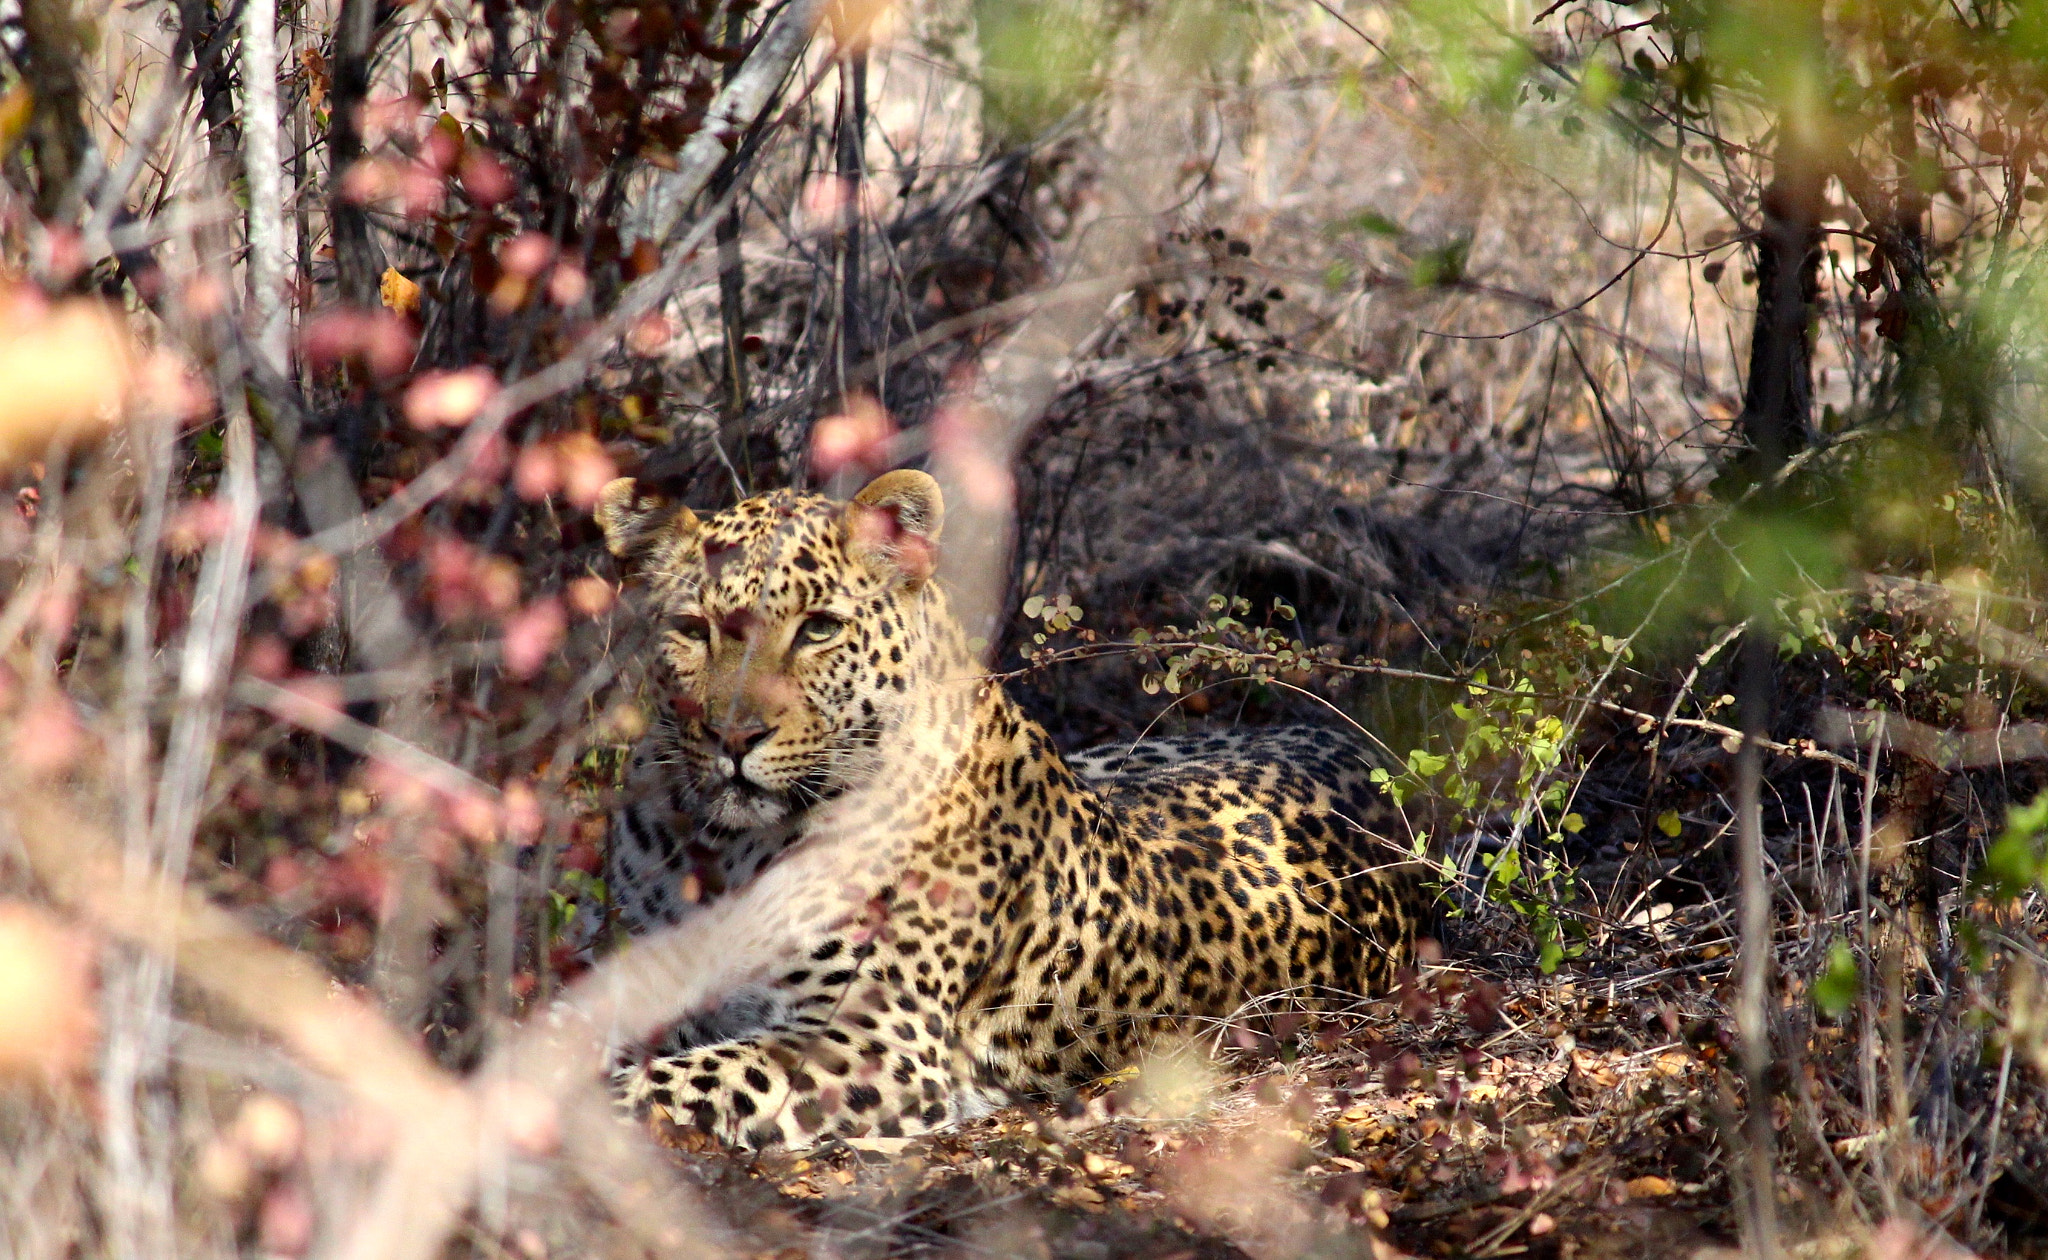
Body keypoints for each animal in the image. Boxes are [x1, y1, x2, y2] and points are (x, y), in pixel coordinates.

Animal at [593, 468, 1431, 1149]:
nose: (734, 736)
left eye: (819, 629)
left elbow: (673, 1079)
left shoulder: (874, 1041)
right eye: (692, 631)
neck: (722, 849)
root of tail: (1344, 739)